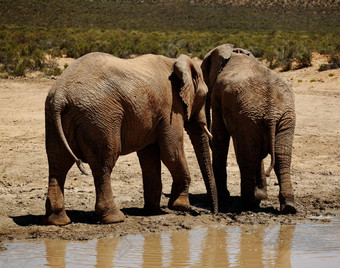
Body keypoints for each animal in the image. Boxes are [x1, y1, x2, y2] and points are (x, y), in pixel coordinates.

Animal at [44, 51, 218, 225]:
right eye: (204, 96)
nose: (213, 213)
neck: (174, 62)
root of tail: (60, 95)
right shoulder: (170, 107)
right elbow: (171, 153)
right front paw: (181, 207)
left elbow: (149, 159)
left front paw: (152, 211)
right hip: (100, 119)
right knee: (103, 163)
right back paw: (115, 218)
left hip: (55, 118)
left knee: (57, 163)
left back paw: (58, 220)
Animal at [201, 44, 296, 216]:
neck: (234, 52)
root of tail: (272, 112)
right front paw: (261, 196)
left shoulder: (218, 94)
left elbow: (220, 138)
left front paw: (224, 197)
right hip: (281, 117)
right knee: (281, 157)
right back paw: (288, 207)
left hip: (248, 117)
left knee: (247, 158)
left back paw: (246, 204)